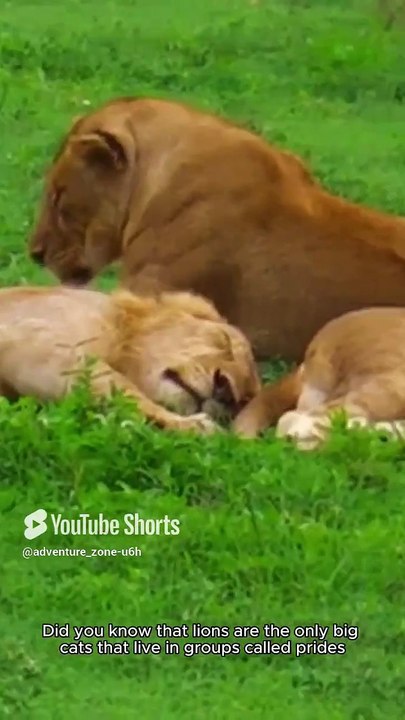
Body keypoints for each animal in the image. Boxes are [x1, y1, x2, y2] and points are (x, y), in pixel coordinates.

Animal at [0, 286, 260, 433]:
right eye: (223, 341)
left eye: (243, 401)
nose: (225, 391)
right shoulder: (37, 344)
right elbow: (127, 392)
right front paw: (190, 425)